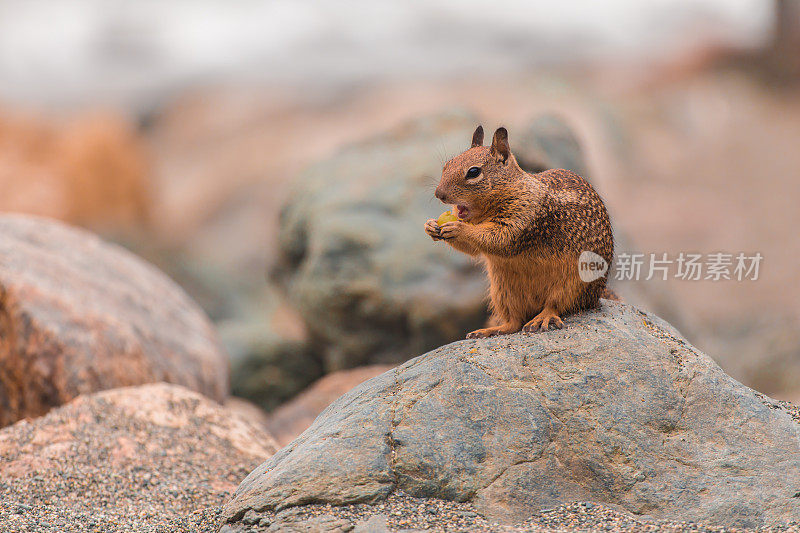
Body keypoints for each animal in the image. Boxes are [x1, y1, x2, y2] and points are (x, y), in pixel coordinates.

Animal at [424, 124, 612, 336]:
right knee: (514, 322)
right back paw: (489, 330)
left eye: (473, 172)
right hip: (503, 291)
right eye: (447, 164)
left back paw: (543, 318)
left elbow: (500, 239)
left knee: (556, 305)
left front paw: (458, 228)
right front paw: (430, 226)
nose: (439, 194)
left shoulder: (525, 218)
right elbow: (472, 249)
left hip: (573, 285)